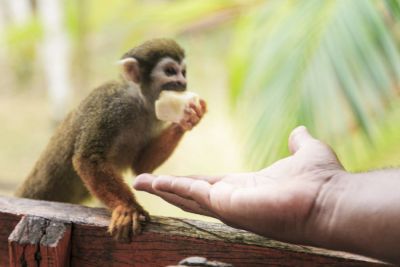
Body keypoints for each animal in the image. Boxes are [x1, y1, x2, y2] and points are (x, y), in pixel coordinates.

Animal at [15, 39, 206, 243]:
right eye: (170, 71)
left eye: (183, 72)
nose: (183, 82)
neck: (139, 101)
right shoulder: (112, 105)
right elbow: (89, 157)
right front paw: (127, 207)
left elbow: (141, 165)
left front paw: (189, 118)